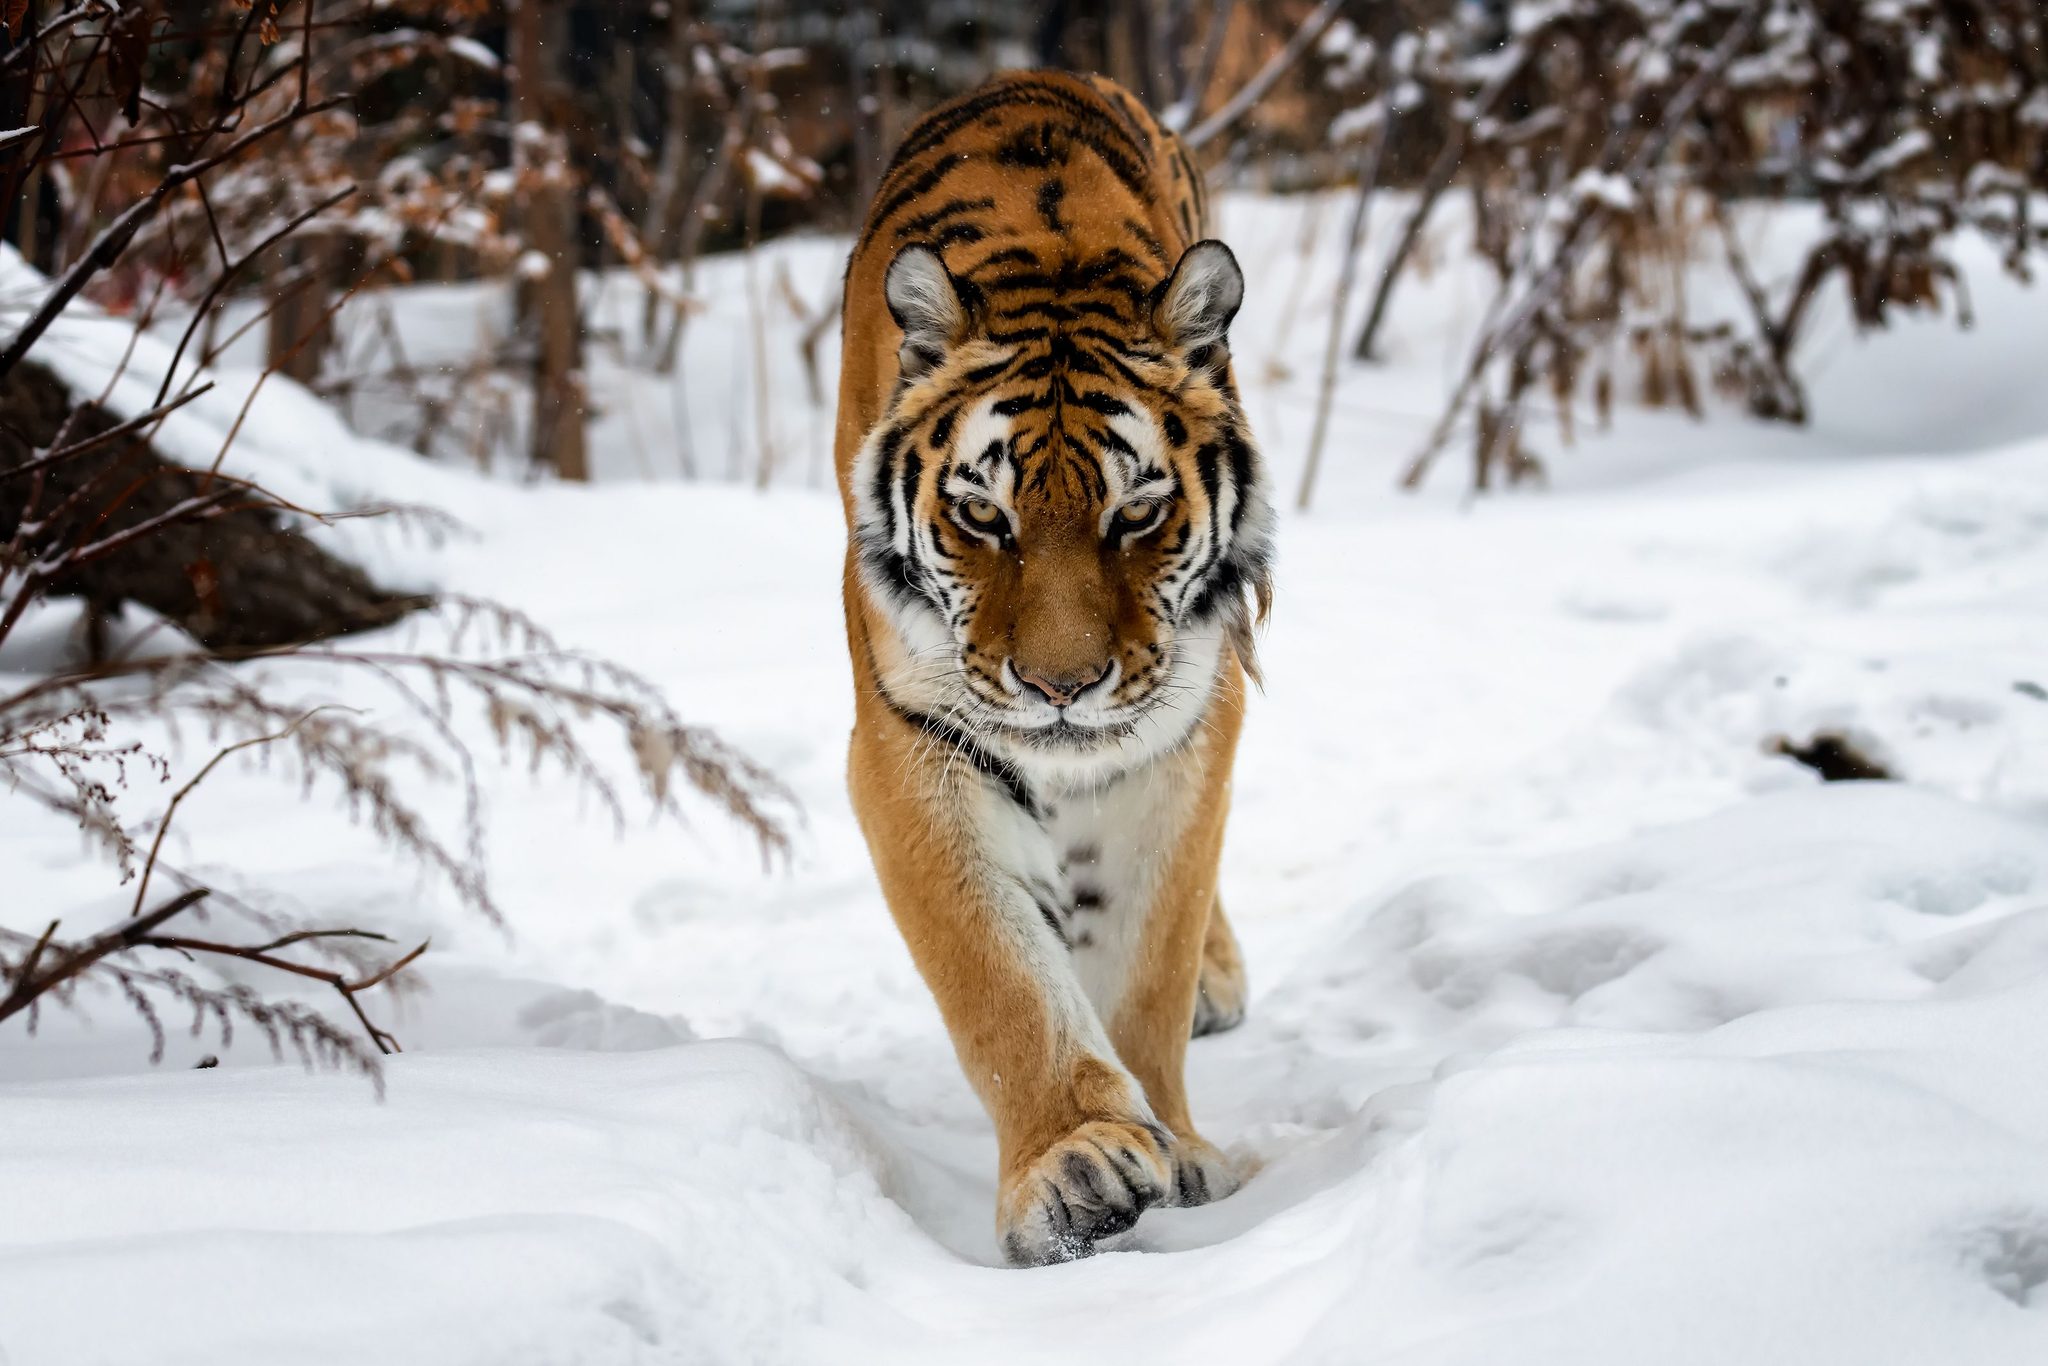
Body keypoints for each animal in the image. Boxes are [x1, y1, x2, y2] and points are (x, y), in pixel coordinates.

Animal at [832, 71, 1274, 1266]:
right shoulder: (911, 742)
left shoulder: (1187, 726)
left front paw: (1175, 1143)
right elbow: (998, 974)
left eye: (1139, 513)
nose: (1061, 690)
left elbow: (1144, 958)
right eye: (984, 517)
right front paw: (1075, 1163)